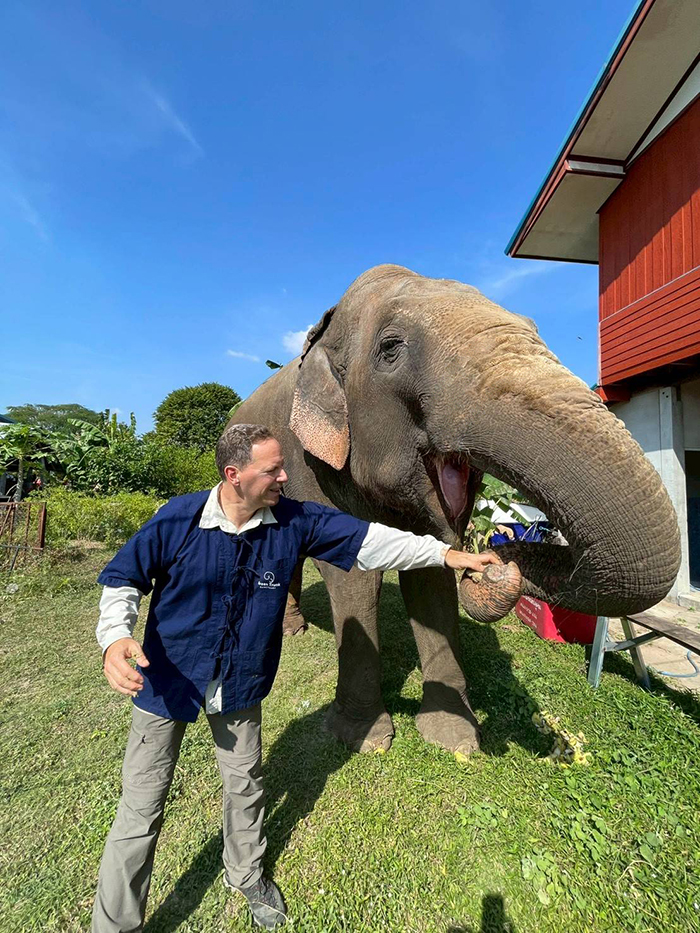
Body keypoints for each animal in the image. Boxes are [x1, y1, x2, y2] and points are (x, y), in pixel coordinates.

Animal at [229, 263, 680, 756]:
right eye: (391, 349)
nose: (493, 559)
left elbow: (430, 571)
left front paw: (455, 739)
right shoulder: (311, 465)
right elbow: (354, 577)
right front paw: (364, 739)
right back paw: (292, 633)